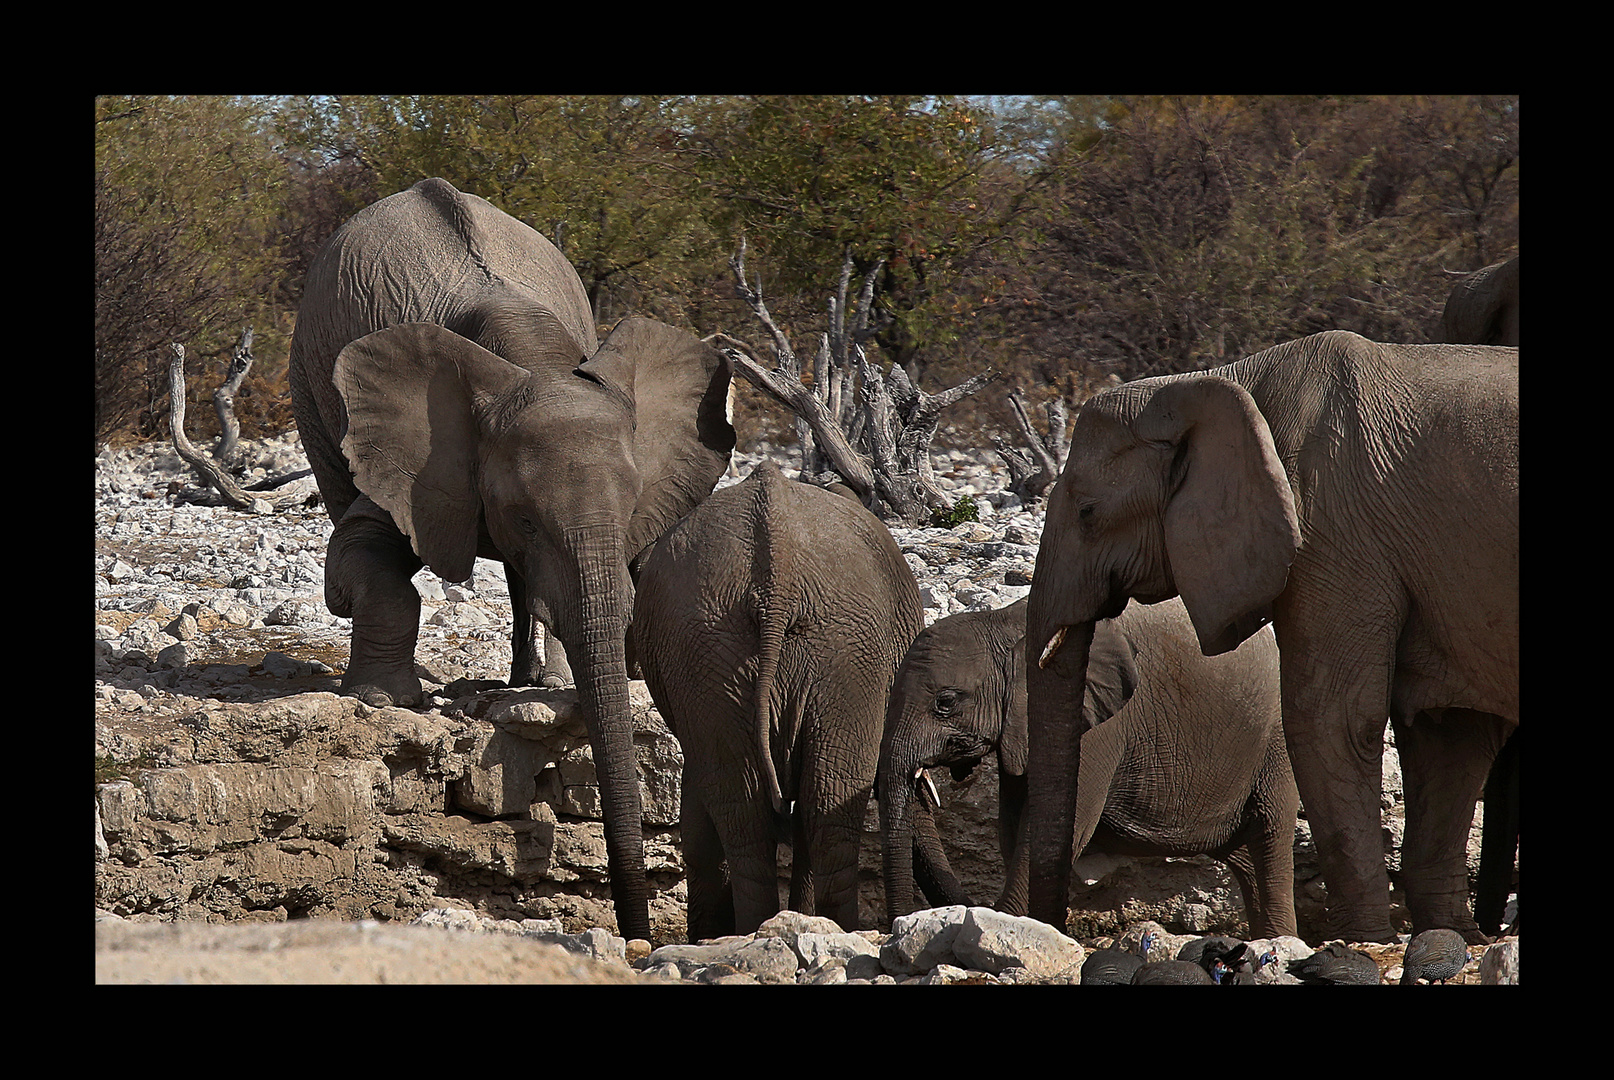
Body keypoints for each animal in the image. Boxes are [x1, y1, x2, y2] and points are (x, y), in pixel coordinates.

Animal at [290, 172, 739, 936]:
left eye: (631, 505)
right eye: (524, 518)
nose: (638, 937)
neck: (529, 360)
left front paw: (557, 688)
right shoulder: (413, 457)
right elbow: (363, 554)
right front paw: (384, 700)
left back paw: (533, 679)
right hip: (309, 383)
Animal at [635, 458, 929, 936]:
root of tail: (776, 586)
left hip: (734, 649)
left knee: (771, 805)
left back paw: (764, 928)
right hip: (825, 650)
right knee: (807, 803)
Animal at [878, 594, 1304, 936]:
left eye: (945, 702)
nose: (897, 924)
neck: (1006, 622)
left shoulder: (1095, 723)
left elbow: (1059, 822)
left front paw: (1007, 920)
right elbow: (1015, 822)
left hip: (1275, 740)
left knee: (1269, 838)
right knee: (1249, 860)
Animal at [1026, 329, 1517, 942]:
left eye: (1089, 512)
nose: (1055, 925)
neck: (1218, 382)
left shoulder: (1332, 529)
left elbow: (1331, 716)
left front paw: (1360, 942)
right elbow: (1451, 731)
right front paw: (1452, 938)